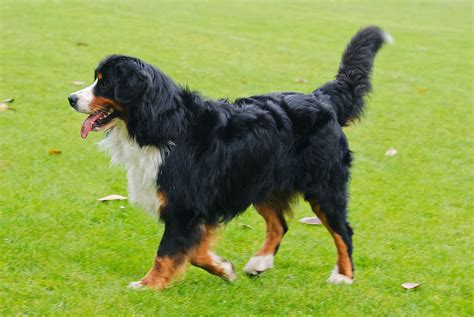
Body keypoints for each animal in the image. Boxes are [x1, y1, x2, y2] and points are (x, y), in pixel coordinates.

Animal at [67, 26, 392, 288]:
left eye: (104, 83)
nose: (71, 98)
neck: (163, 125)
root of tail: (321, 98)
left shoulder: (185, 205)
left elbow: (168, 252)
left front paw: (148, 285)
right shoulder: (201, 205)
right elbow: (195, 251)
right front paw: (224, 268)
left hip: (323, 186)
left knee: (343, 231)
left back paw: (344, 276)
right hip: (260, 181)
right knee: (279, 224)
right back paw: (260, 262)